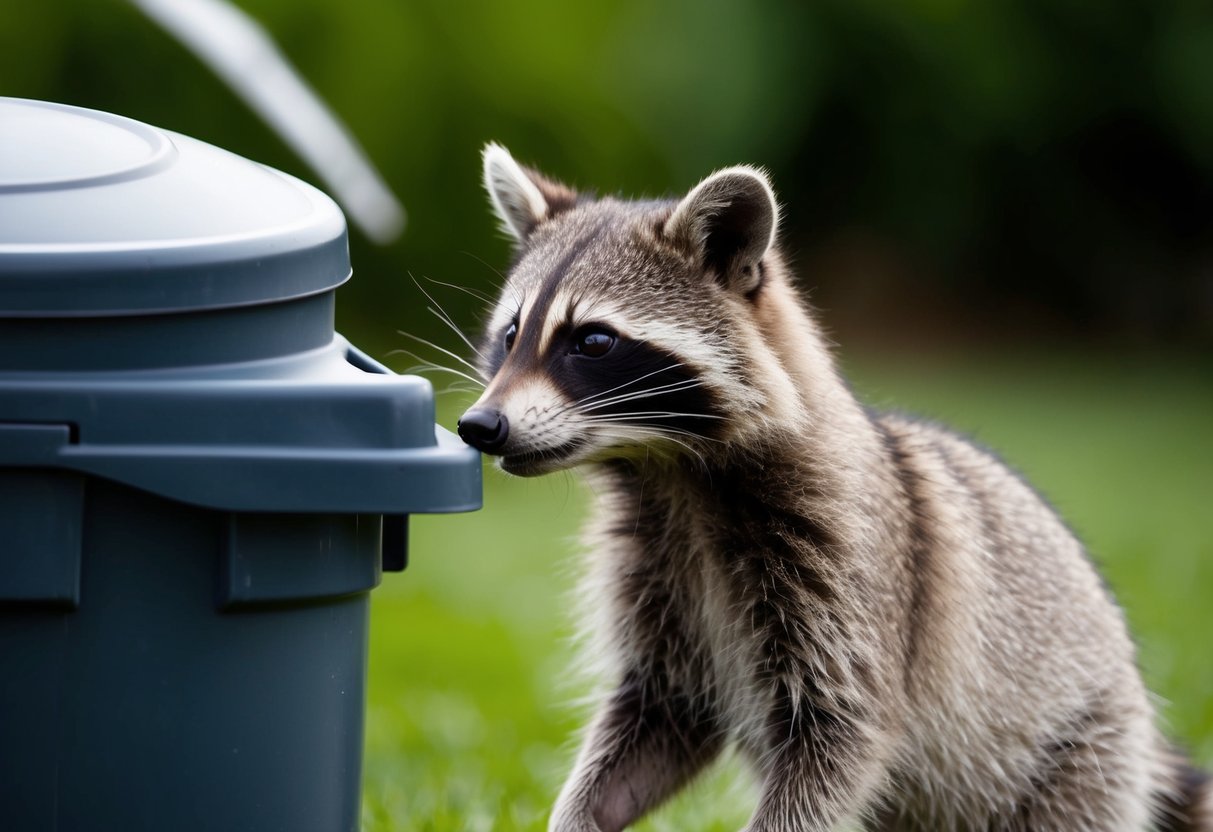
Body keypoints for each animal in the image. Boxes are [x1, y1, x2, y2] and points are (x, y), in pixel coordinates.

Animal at [456, 143, 1210, 832]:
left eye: (592, 341)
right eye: (512, 334)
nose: (479, 425)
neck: (671, 475)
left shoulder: (846, 572)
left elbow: (839, 738)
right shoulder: (658, 587)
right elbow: (653, 726)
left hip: (1080, 755)